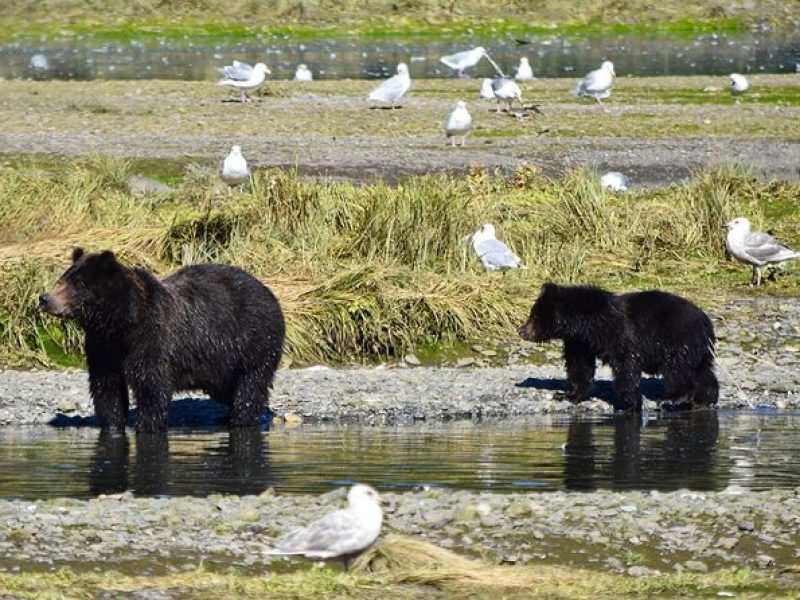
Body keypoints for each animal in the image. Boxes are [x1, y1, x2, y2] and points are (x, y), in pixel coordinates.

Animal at [40, 248, 286, 432]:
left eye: (77, 285)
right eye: (62, 279)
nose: (45, 298)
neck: (120, 325)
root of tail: (269, 293)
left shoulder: (153, 341)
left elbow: (152, 387)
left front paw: (146, 424)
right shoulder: (103, 347)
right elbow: (107, 389)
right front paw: (112, 425)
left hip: (253, 342)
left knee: (250, 385)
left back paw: (242, 418)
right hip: (221, 363)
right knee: (228, 389)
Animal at [520, 284, 720, 410]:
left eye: (534, 316)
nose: (521, 330)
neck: (584, 323)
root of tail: (706, 322)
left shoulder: (617, 332)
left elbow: (626, 363)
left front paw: (631, 402)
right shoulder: (580, 343)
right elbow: (580, 367)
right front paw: (567, 395)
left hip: (676, 341)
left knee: (677, 369)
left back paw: (672, 398)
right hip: (698, 350)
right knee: (703, 372)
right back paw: (704, 398)